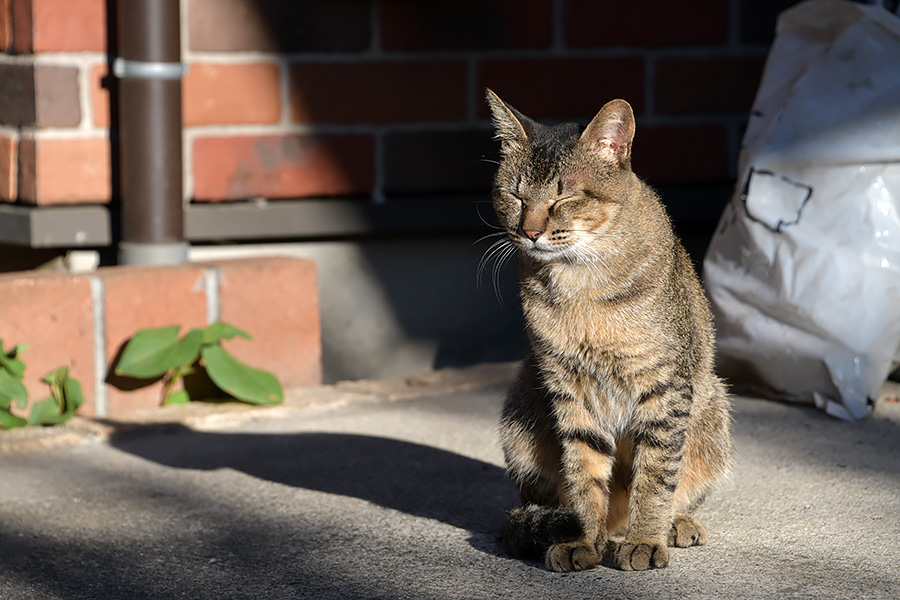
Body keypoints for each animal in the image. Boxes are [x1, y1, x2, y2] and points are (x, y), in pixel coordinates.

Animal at [486, 89, 732, 572]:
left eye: (564, 198)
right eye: (514, 195)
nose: (530, 232)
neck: (578, 284)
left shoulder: (665, 387)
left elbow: (655, 475)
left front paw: (645, 539)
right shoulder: (568, 389)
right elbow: (584, 474)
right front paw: (584, 538)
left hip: (713, 408)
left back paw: (670, 525)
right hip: (521, 409)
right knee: (540, 504)